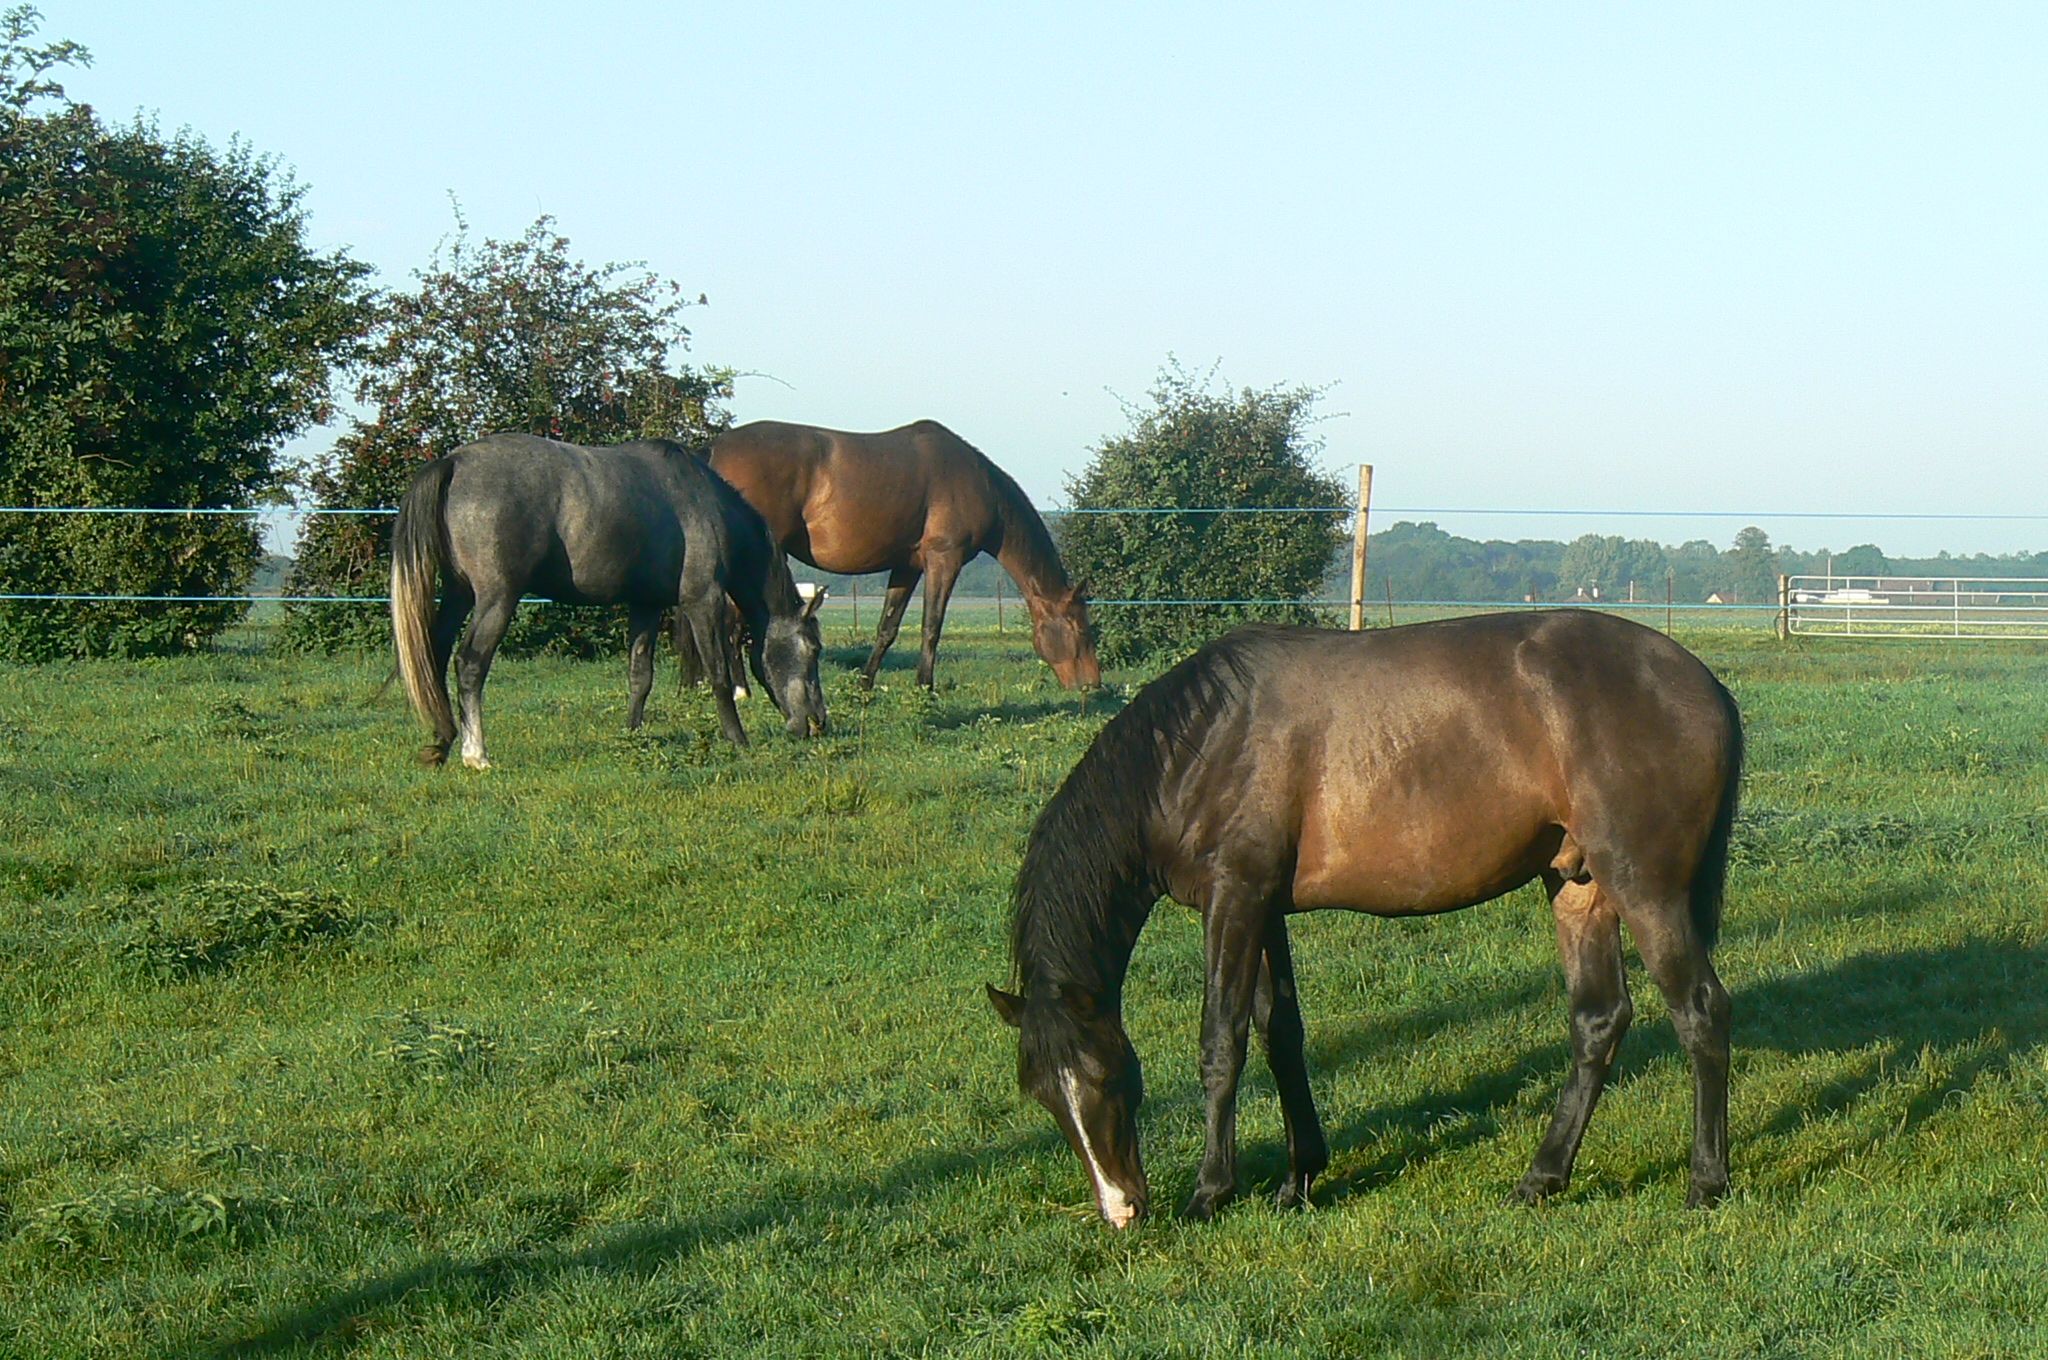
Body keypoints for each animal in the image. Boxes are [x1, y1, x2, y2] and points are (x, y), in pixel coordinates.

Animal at [391, 432, 823, 766]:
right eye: (813, 650)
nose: (818, 723)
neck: (705, 504)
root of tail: (455, 462)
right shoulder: (704, 601)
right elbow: (717, 671)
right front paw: (737, 738)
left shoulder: (646, 605)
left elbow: (640, 675)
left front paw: (632, 734)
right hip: (495, 600)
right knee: (470, 664)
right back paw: (475, 754)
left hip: (459, 595)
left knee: (435, 657)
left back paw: (441, 743)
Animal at [704, 417, 1097, 692]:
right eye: (1081, 627)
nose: (1093, 684)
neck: (979, 484)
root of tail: (716, 450)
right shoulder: (944, 560)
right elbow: (931, 626)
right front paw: (925, 687)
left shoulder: (906, 567)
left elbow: (887, 628)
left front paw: (865, 685)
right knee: (731, 624)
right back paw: (741, 691)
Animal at [983, 610, 1736, 1228]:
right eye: (1045, 1097)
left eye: (1105, 1078)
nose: (1122, 1212)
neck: (1199, 745)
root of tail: (1706, 685)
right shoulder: (1265, 909)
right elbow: (1279, 1034)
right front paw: (1299, 1180)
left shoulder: (1234, 899)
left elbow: (1222, 1042)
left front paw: (1211, 1192)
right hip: (1578, 885)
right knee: (1598, 1021)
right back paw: (1542, 1179)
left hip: (1644, 887)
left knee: (1700, 1009)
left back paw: (1706, 1182)